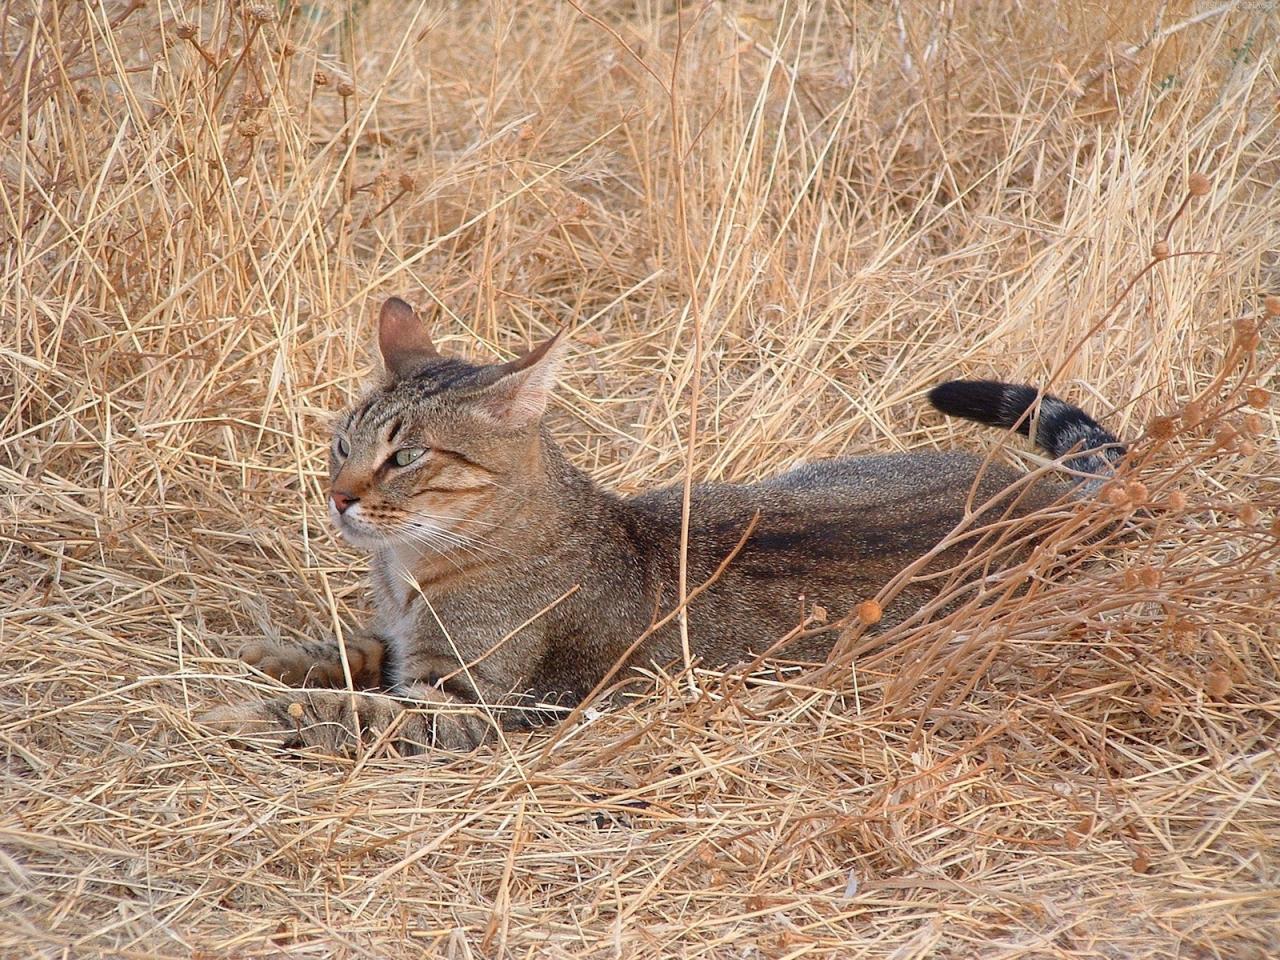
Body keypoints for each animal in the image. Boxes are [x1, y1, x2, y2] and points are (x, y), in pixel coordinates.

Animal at [199, 296, 1121, 757]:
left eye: (406, 457)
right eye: (341, 443)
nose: (338, 496)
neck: (409, 570)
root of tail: (1045, 502)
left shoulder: (475, 702)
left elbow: (354, 713)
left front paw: (245, 710)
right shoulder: (396, 647)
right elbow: (349, 651)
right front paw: (268, 653)